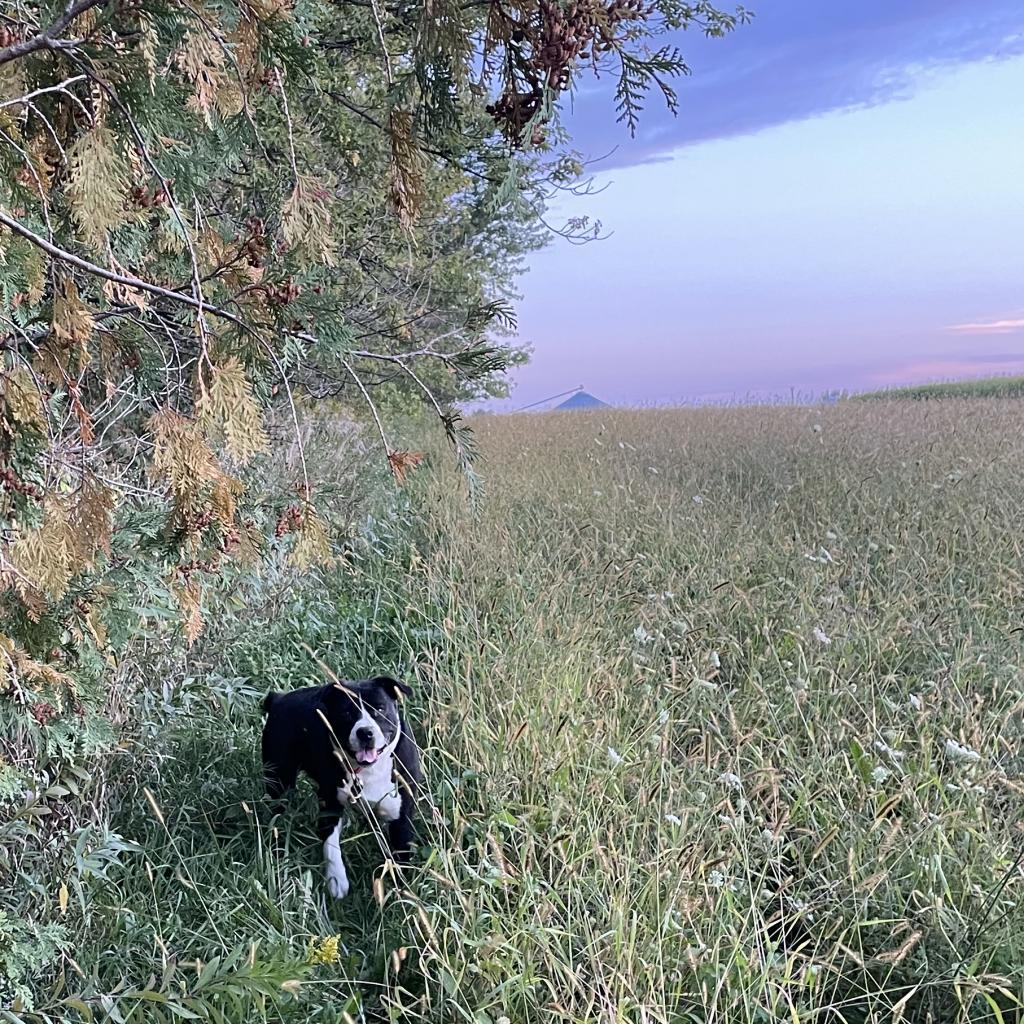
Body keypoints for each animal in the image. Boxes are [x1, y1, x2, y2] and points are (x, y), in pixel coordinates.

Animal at [262, 675, 417, 901]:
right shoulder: (329, 803)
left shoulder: (402, 814)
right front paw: (336, 880)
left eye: (379, 708)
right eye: (346, 713)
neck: (368, 770)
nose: (365, 732)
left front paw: (404, 895)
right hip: (278, 778)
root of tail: (278, 699)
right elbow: (331, 845)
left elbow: (401, 854)